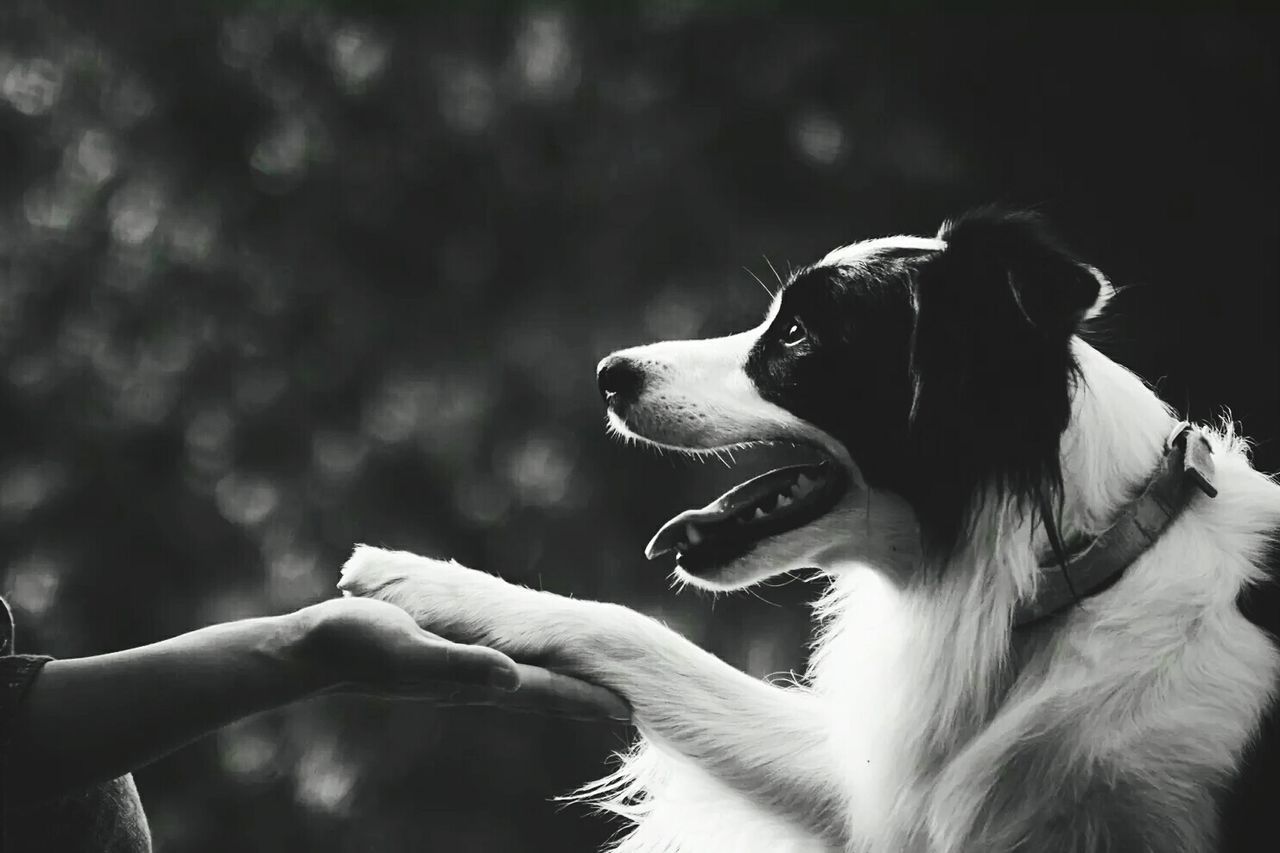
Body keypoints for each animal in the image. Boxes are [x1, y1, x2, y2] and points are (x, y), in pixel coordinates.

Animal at [337, 207, 1280, 850]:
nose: (609, 373)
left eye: (793, 335)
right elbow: (637, 634)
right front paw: (419, 577)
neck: (1080, 568)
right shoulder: (865, 780)